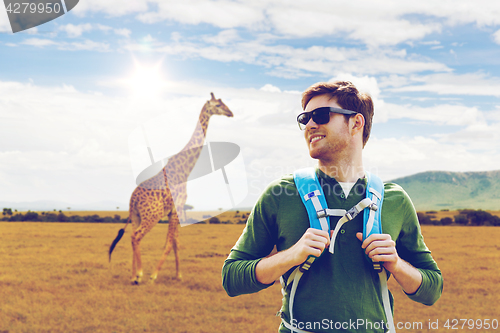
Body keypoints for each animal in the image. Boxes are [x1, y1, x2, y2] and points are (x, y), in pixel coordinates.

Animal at [108, 92, 233, 282]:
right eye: (218, 105)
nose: (230, 113)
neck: (185, 170)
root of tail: (132, 199)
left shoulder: (175, 211)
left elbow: (176, 243)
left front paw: (179, 275)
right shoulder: (177, 208)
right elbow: (169, 243)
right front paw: (154, 275)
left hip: (136, 216)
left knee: (132, 236)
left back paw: (133, 275)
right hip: (151, 216)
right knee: (136, 236)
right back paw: (140, 275)